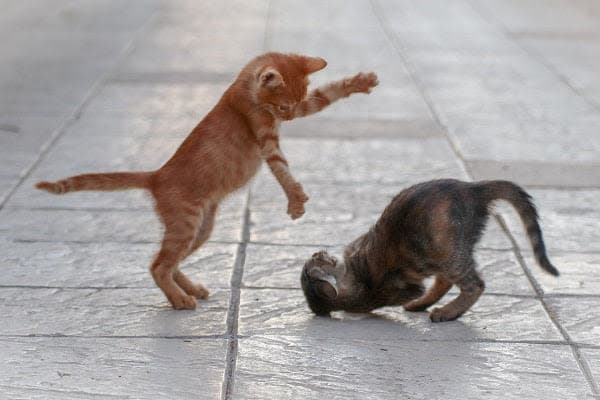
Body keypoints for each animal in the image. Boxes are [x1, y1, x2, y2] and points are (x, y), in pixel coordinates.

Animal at [35, 52, 378, 310]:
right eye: (283, 106)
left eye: (295, 103)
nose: (290, 116)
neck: (242, 89)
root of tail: (156, 176)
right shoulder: (266, 139)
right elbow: (282, 169)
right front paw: (295, 200)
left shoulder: (300, 110)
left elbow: (327, 95)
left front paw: (359, 82)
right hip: (186, 225)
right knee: (158, 266)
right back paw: (180, 300)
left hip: (200, 229)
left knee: (167, 262)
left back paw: (191, 289)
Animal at [302, 179, 560, 322]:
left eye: (316, 260)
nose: (318, 252)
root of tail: (471, 189)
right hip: (447, 252)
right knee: (466, 284)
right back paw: (441, 310)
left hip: (446, 252)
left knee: (469, 284)